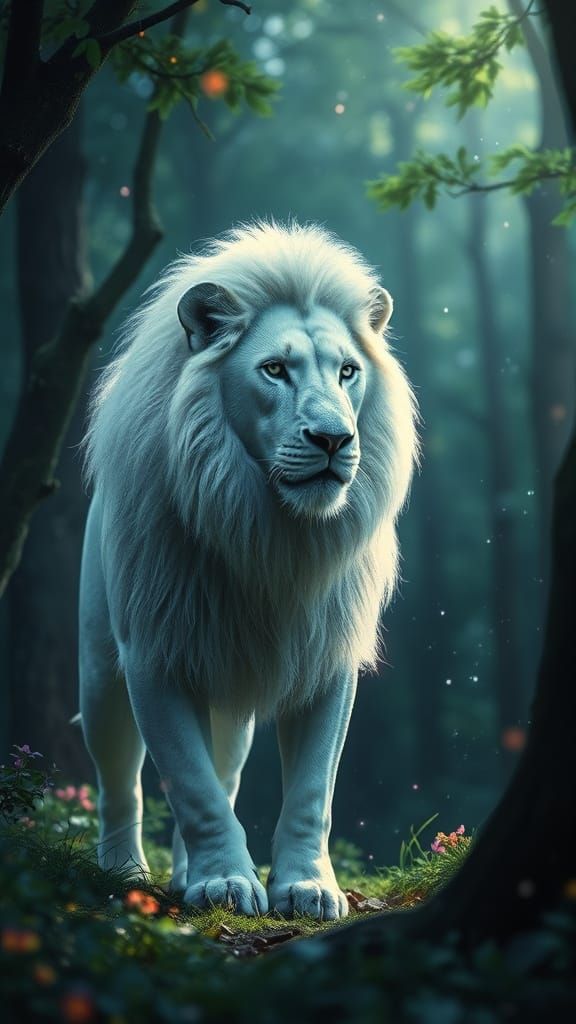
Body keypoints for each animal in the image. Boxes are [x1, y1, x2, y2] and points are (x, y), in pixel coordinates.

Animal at [79, 220, 418, 920]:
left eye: (348, 371)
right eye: (274, 369)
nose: (333, 439)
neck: (268, 531)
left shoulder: (327, 652)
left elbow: (309, 791)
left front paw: (307, 888)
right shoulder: (152, 648)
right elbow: (190, 784)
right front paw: (225, 885)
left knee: (224, 771)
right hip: (100, 672)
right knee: (122, 778)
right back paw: (125, 869)